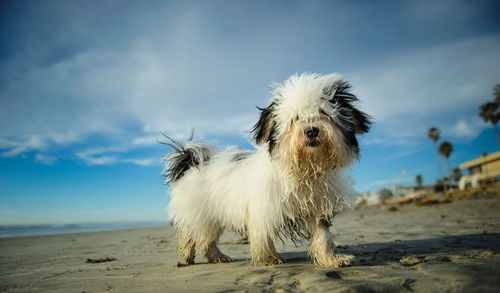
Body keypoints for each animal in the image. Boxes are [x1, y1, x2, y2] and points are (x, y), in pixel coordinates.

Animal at [162, 72, 370, 266]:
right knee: (191, 233)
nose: (311, 130)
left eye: (324, 113)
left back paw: (217, 256)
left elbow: (323, 236)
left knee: (208, 239)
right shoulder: (264, 207)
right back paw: (188, 255)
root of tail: (190, 164)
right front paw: (269, 258)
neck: (303, 170)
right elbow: (263, 234)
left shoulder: (317, 209)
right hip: (199, 212)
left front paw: (332, 259)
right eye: (295, 119)